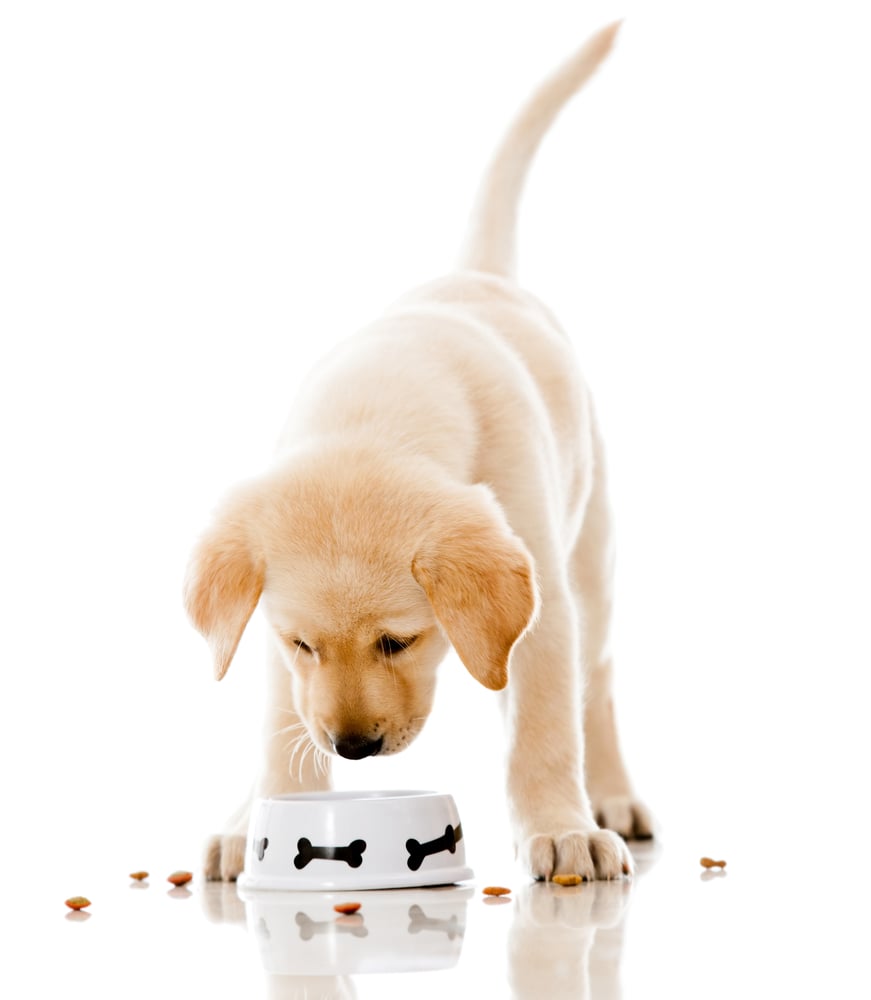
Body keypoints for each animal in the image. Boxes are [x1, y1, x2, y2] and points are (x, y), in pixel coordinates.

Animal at [184, 21, 652, 884]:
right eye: (302, 642)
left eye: (397, 641)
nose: (353, 748)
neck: (377, 409)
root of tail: (478, 271)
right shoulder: (269, 643)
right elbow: (278, 727)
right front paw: (265, 816)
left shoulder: (543, 606)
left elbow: (543, 726)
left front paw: (559, 828)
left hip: (591, 565)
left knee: (594, 687)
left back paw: (607, 796)